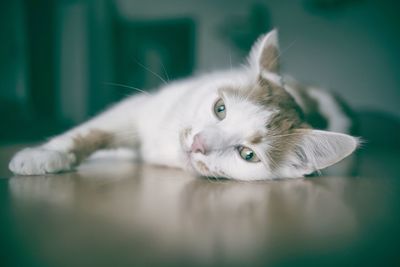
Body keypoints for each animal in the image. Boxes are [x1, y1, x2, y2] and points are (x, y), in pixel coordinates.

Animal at [8, 29, 360, 182]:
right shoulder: (137, 109)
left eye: (247, 154)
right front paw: (44, 154)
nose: (199, 143)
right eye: (220, 108)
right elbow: (90, 131)